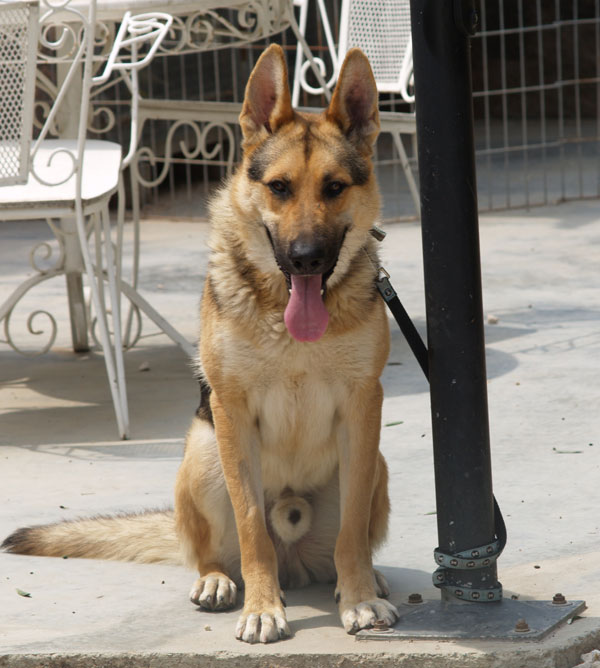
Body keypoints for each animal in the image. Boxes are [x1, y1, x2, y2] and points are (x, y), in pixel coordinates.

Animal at [4, 45, 400, 640]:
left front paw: (358, 599)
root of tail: (296, 557)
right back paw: (218, 581)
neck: (290, 328)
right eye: (279, 187)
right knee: (218, 549)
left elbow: (351, 530)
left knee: (343, 542)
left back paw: (367, 577)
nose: (305, 258)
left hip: (376, 463)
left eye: (334, 187)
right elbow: (251, 526)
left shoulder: (362, 407)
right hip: (203, 455)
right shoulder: (231, 411)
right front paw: (263, 608)